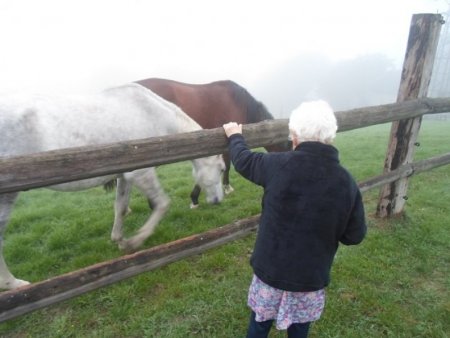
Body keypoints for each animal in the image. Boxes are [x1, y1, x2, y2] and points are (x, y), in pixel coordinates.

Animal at [0, 83, 225, 290]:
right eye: (222, 169)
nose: (218, 201)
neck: (151, 113)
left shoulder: (124, 176)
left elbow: (121, 208)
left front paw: (118, 239)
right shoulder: (140, 173)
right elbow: (162, 204)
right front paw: (134, 242)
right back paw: (13, 283)